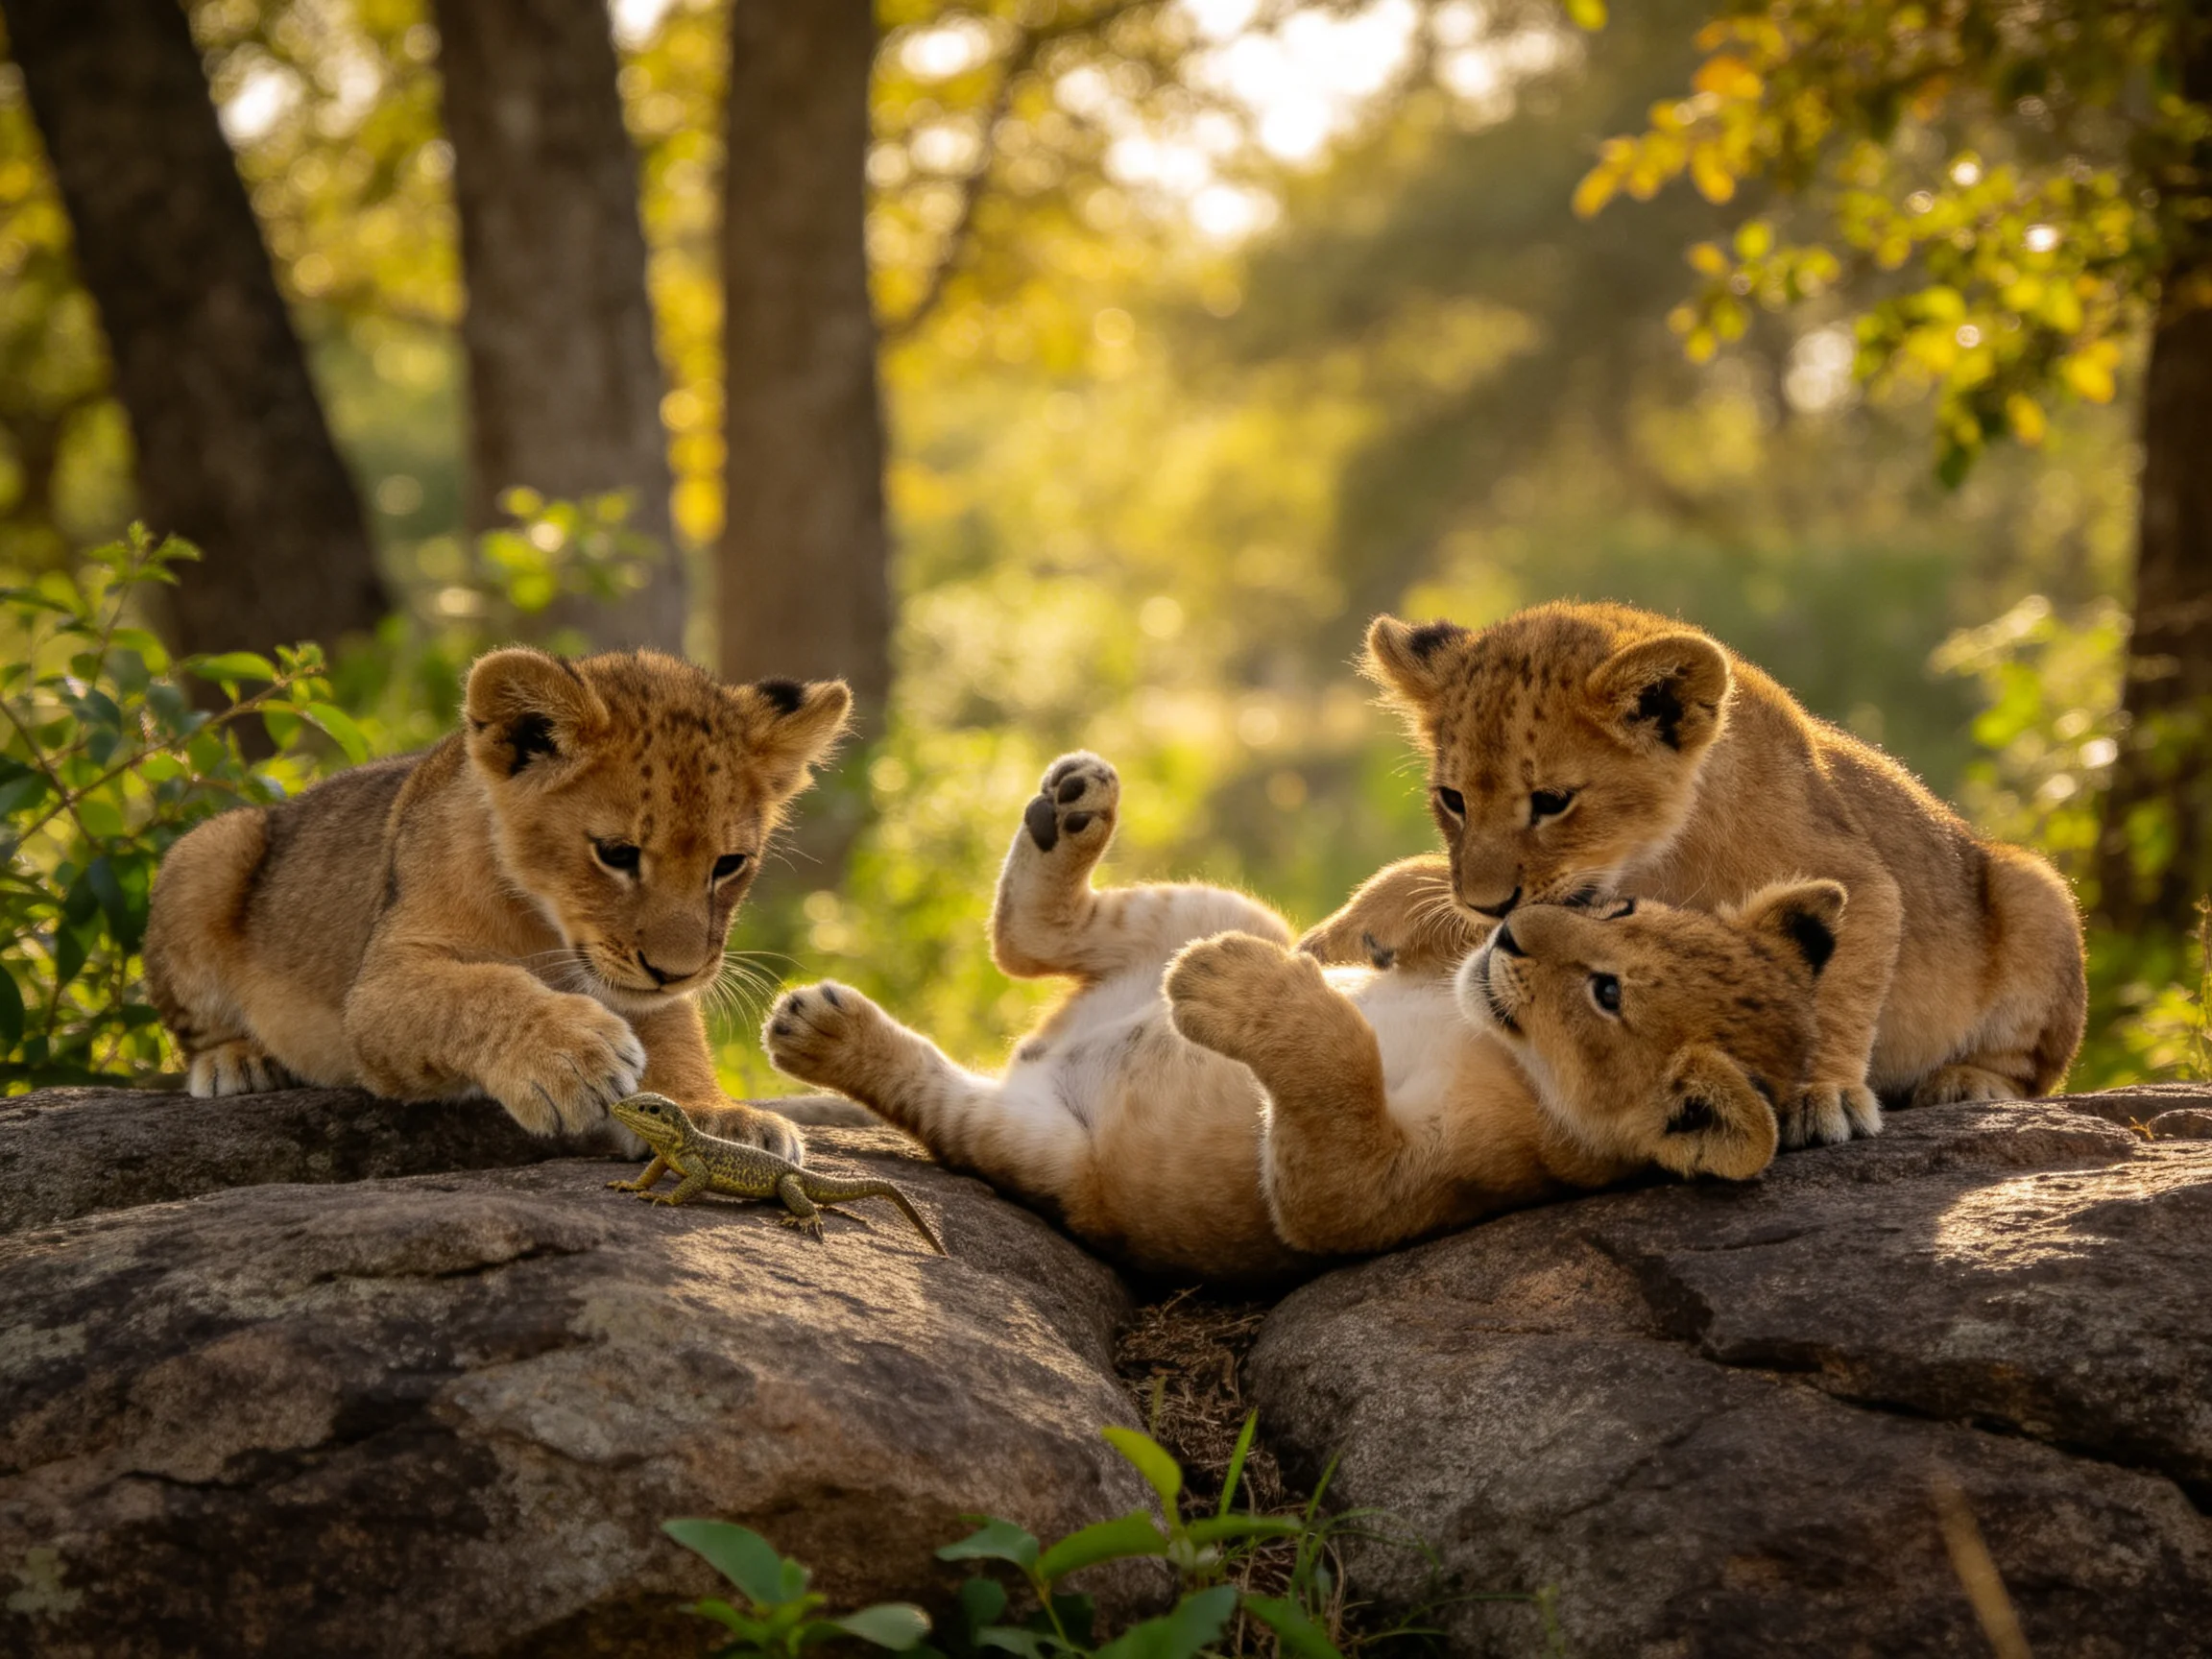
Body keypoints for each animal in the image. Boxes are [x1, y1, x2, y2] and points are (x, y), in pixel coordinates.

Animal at [144, 647, 850, 1160]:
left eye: (728, 865)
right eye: (616, 854)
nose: (676, 973)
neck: (545, 924)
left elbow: (676, 1039)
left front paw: (714, 1120)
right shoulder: (376, 990)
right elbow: (476, 990)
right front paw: (569, 1057)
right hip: (208, 850)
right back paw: (240, 1061)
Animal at [761, 752, 1842, 1281]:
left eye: (1608, 994)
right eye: (1616, 912)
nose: (1514, 936)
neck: (1484, 1035)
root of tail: (1043, 1050)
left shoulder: (1392, 1194)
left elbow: (1340, 1077)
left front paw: (1232, 992)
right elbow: (1415, 905)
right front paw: (1392, 923)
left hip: (1056, 1159)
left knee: (952, 1093)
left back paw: (818, 1027)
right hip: (1221, 903)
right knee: (1028, 936)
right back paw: (1073, 803)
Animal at [1299, 602, 2086, 1148]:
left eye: (1552, 801)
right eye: (1453, 799)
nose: (1487, 907)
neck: (1650, 857)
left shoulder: (1858, 880)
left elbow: (1832, 990)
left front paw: (1823, 1094)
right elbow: (1430, 877)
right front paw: (1345, 934)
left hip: (2035, 887)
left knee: (2033, 1070)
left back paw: (1965, 1083)